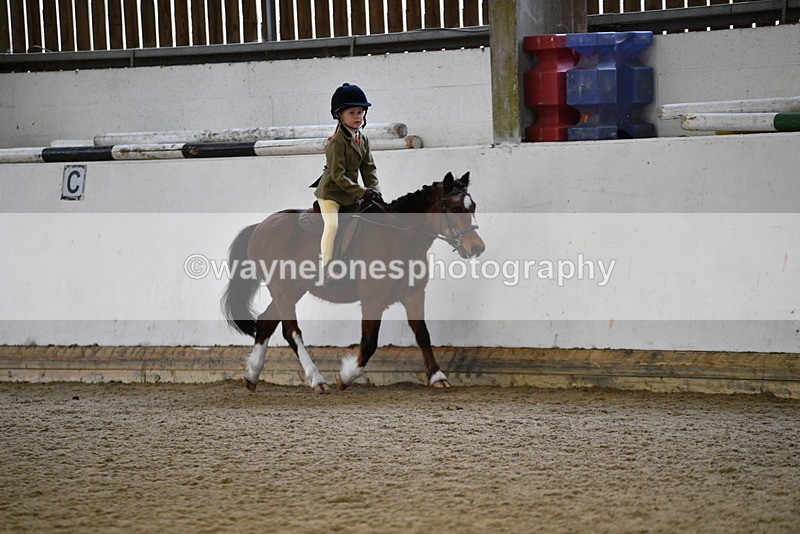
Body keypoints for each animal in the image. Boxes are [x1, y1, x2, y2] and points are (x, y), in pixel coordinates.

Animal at [221, 171, 485, 393]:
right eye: (453, 208)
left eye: (472, 207)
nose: (477, 248)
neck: (397, 237)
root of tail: (261, 226)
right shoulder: (372, 300)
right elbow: (369, 343)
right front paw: (345, 377)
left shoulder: (414, 295)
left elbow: (423, 334)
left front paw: (437, 376)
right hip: (282, 289)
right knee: (291, 332)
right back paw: (317, 380)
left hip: (292, 289)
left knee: (266, 322)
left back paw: (252, 376)